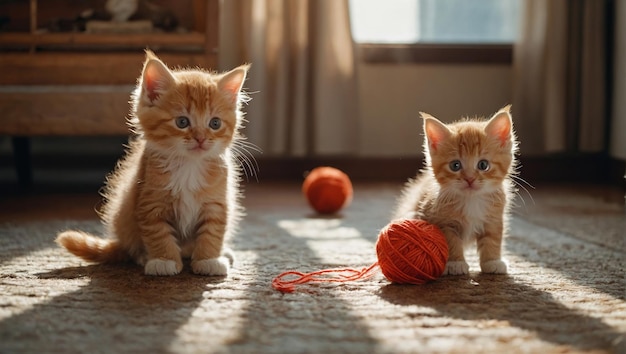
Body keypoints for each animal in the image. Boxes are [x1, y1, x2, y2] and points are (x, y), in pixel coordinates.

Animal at [56, 50, 250, 276]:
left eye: (215, 123)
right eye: (182, 122)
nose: (201, 139)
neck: (189, 165)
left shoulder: (217, 202)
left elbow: (213, 231)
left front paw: (208, 259)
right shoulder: (150, 201)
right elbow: (158, 233)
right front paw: (164, 261)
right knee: (132, 249)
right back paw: (143, 256)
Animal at [390, 106, 516, 276]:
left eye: (483, 165)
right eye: (455, 165)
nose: (469, 179)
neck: (471, 200)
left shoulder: (494, 218)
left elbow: (493, 239)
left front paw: (492, 261)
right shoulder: (443, 222)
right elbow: (451, 241)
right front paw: (455, 264)